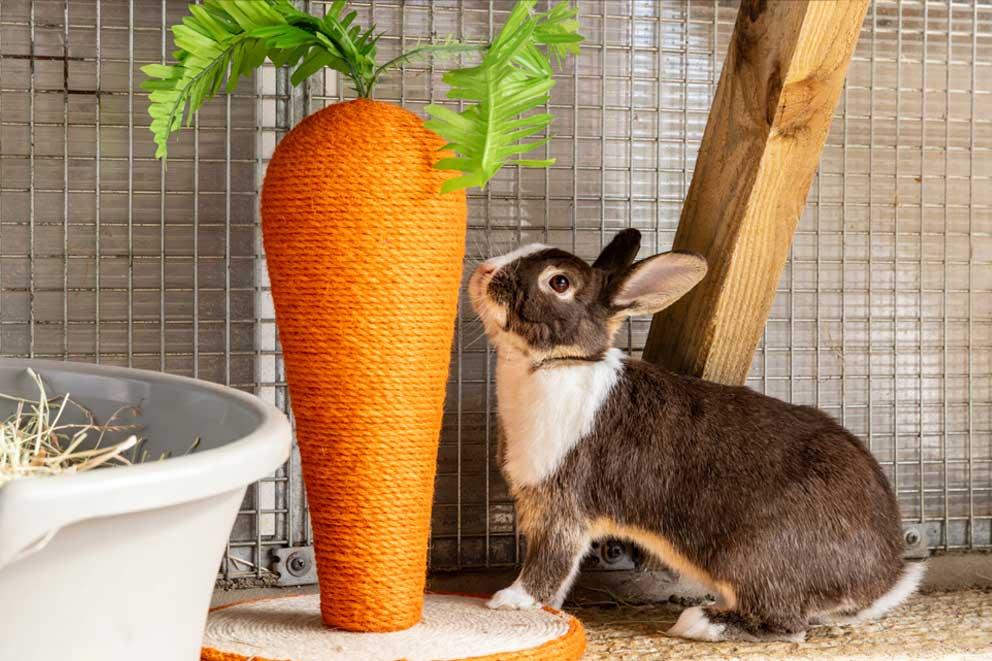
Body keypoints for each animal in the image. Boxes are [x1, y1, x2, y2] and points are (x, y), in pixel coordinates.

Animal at [468, 228, 924, 642]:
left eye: (559, 282)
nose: (483, 271)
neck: (558, 362)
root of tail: (881, 580)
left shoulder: (561, 507)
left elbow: (549, 562)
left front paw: (510, 601)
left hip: (752, 557)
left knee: (786, 625)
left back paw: (702, 622)